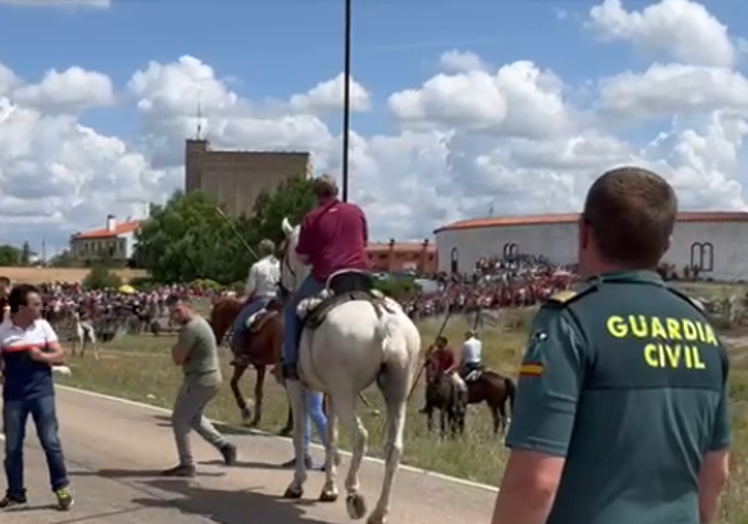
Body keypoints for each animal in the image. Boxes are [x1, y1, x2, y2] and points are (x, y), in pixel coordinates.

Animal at [210, 294, 292, 434]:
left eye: (214, 315)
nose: (216, 338)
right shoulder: (260, 365)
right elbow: (258, 391)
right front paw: (255, 420)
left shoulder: (241, 363)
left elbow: (233, 383)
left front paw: (245, 411)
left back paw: (289, 427)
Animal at [280, 217, 420, 524]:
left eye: (283, 253)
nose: (282, 290)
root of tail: (383, 319)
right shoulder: (330, 393)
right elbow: (330, 436)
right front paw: (328, 488)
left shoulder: (298, 386)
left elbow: (300, 432)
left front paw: (297, 484)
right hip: (396, 393)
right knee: (394, 448)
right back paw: (379, 511)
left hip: (346, 395)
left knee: (361, 436)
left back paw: (354, 493)